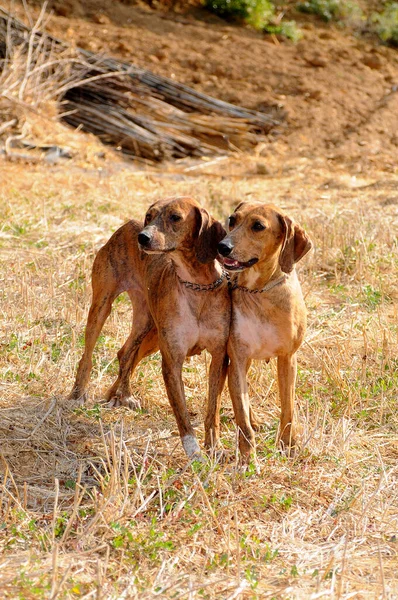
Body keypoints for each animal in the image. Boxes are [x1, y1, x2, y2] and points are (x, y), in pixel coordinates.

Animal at [69, 197, 229, 460]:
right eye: (149, 216)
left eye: (175, 217)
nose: (142, 238)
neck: (196, 287)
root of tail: (125, 226)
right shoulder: (172, 361)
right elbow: (182, 414)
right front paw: (194, 453)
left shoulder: (219, 357)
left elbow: (212, 410)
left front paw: (214, 446)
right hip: (102, 307)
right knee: (88, 355)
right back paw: (78, 394)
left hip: (147, 326)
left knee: (125, 354)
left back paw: (124, 395)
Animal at [219, 202, 312, 460]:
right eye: (232, 220)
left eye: (258, 226)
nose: (222, 246)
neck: (259, 293)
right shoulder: (238, 358)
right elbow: (241, 415)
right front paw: (247, 457)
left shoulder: (288, 358)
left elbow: (288, 408)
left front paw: (288, 444)